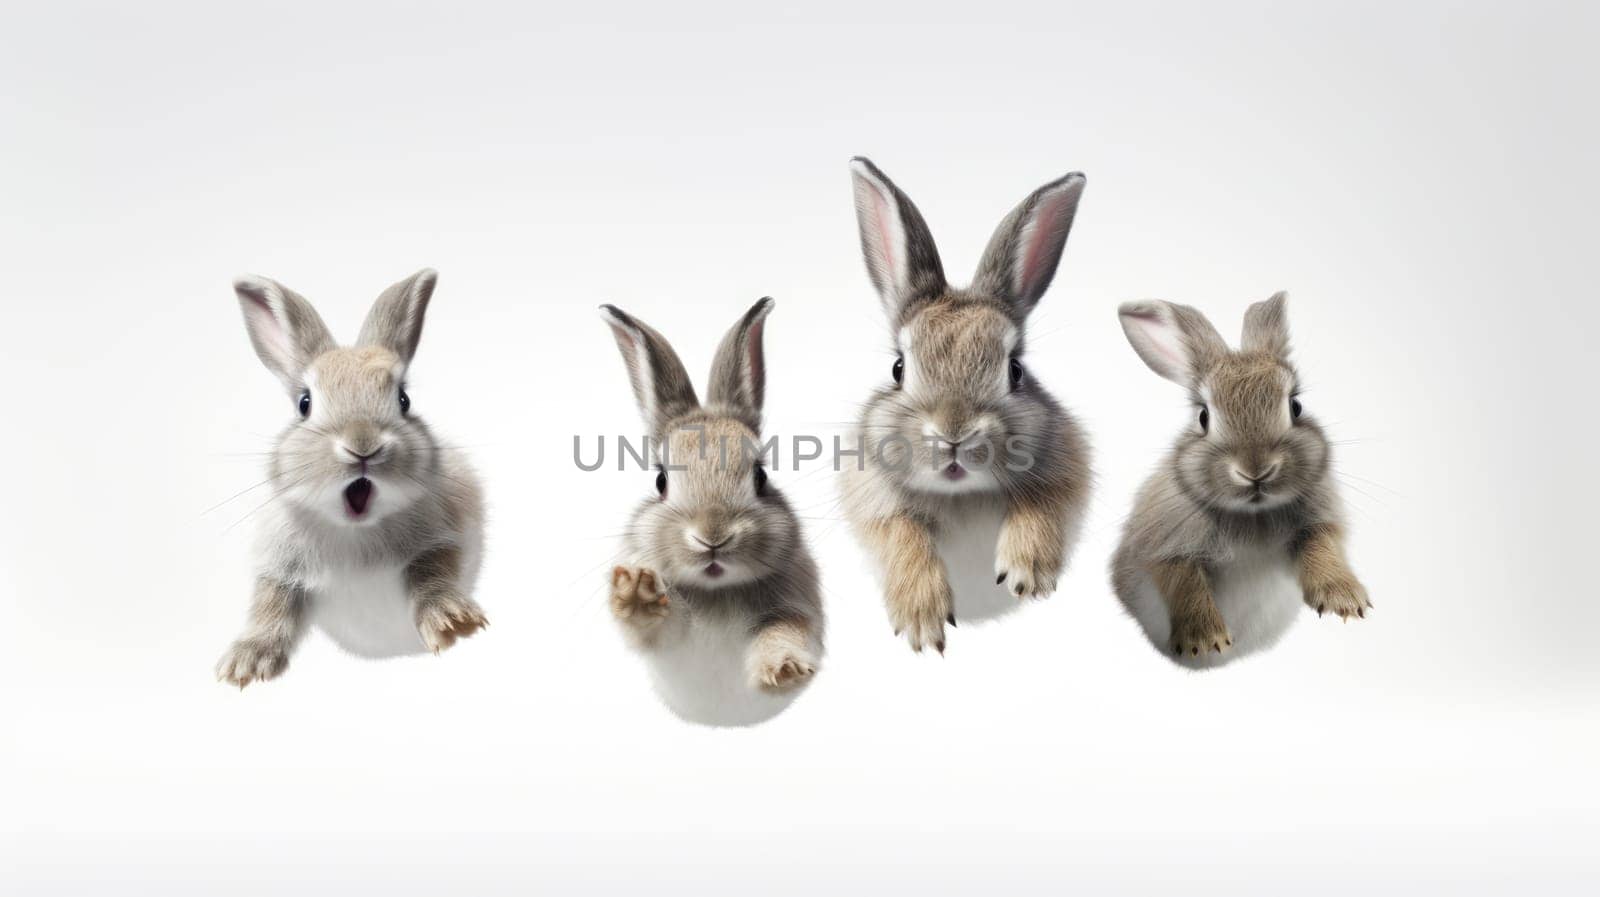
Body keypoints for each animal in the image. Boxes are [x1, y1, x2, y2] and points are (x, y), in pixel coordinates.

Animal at [214, 267, 486, 684]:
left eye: (403, 400)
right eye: (304, 403)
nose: (363, 445)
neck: (355, 533)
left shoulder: (441, 541)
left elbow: (431, 575)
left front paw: (453, 623)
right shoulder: (279, 567)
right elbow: (270, 604)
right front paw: (244, 664)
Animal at [601, 297, 825, 722]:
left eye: (760, 476)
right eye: (661, 481)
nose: (713, 537)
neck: (718, 592)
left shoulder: (794, 609)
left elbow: (783, 634)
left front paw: (784, 668)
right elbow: (656, 626)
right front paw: (637, 592)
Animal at [838, 157, 1100, 655]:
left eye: (1015, 369)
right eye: (899, 368)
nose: (953, 434)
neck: (960, 495)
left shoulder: (1063, 472)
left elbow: (1041, 500)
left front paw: (1026, 573)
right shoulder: (875, 502)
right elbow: (902, 534)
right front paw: (921, 619)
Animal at [1113, 291, 1376, 668]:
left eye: (1295, 406)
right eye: (1203, 417)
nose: (1257, 470)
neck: (1253, 515)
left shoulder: (1316, 524)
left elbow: (1322, 548)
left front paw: (1344, 599)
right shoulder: (1164, 545)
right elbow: (1185, 581)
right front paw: (1205, 639)